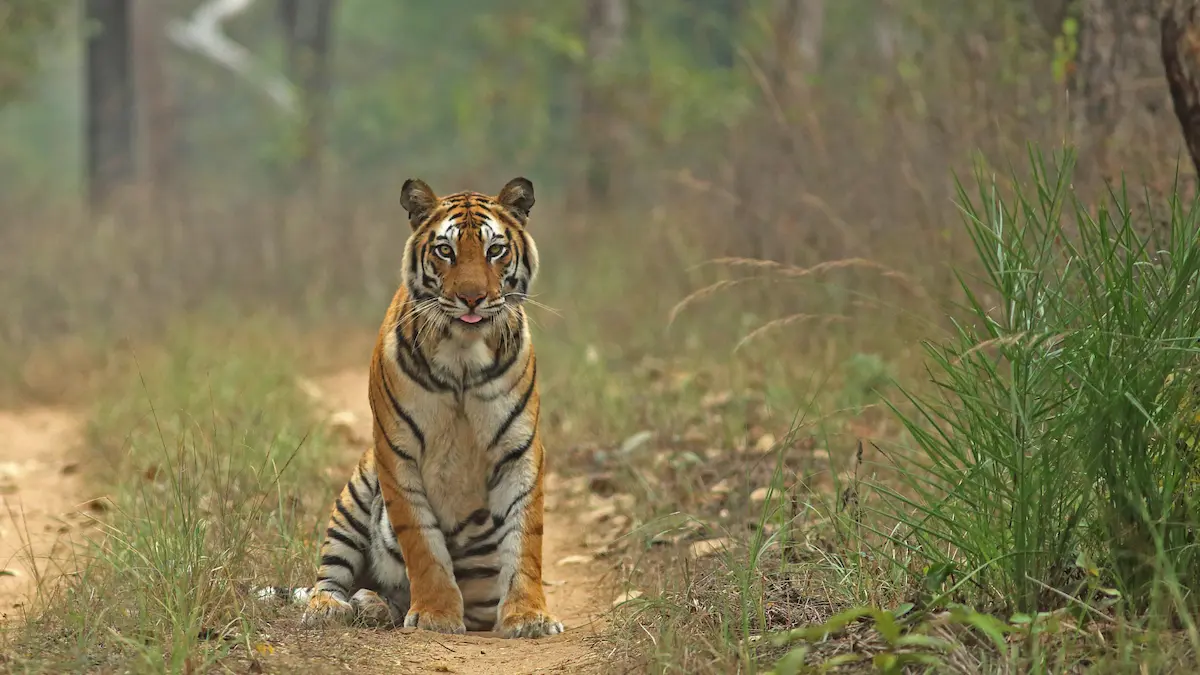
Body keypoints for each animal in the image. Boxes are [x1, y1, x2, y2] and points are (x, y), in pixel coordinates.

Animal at [258, 177, 561, 638]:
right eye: (445, 251)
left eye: (495, 250)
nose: (472, 298)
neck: (463, 356)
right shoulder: (395, 453)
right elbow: (422, 543)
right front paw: (436, 615)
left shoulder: (519, 451)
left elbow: (525, 540)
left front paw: (529, 617)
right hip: (354, 493)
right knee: (331, 575)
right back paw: (334, 606)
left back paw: (374, 605)